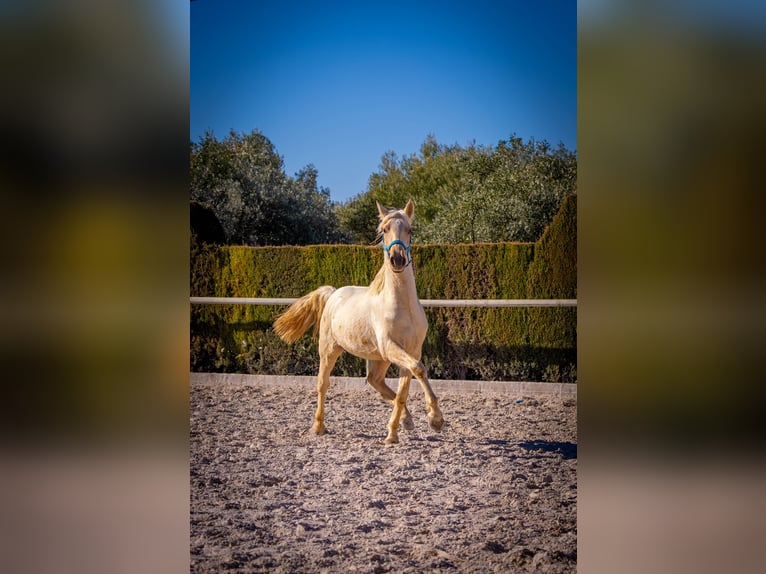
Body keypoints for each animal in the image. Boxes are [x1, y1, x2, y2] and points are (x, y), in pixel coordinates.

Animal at [274, 199, 444, 446]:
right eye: (384, 230)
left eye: (410, 230)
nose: (398, 259)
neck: (403, 306)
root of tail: (333, 293)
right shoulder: (392, 347)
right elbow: (419, 370)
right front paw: (435, 419)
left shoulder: (411, 350)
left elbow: (406, 385)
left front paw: (395, 432)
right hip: (330, 349)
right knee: (322, 384)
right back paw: (318, 427)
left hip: (379, 358)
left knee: (375, 381)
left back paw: (405, 420)